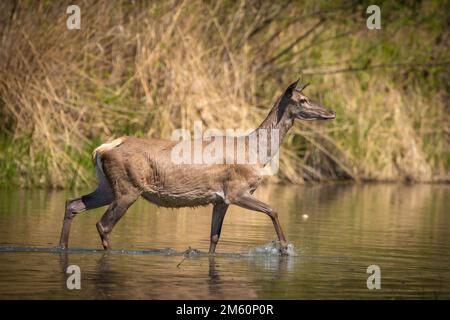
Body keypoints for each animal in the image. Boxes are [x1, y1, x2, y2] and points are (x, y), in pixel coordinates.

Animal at [59, 79, 334, 255]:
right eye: (303, 100)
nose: (330, 112)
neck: (256, 152)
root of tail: (102, 149)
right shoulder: (237, 191)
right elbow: (273, 210)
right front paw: (285, 249)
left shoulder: (220, 199)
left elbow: (214, 237)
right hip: (128, 187)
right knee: (103, 224)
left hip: (108, 186)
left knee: (73, 203)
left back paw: (62, 247)